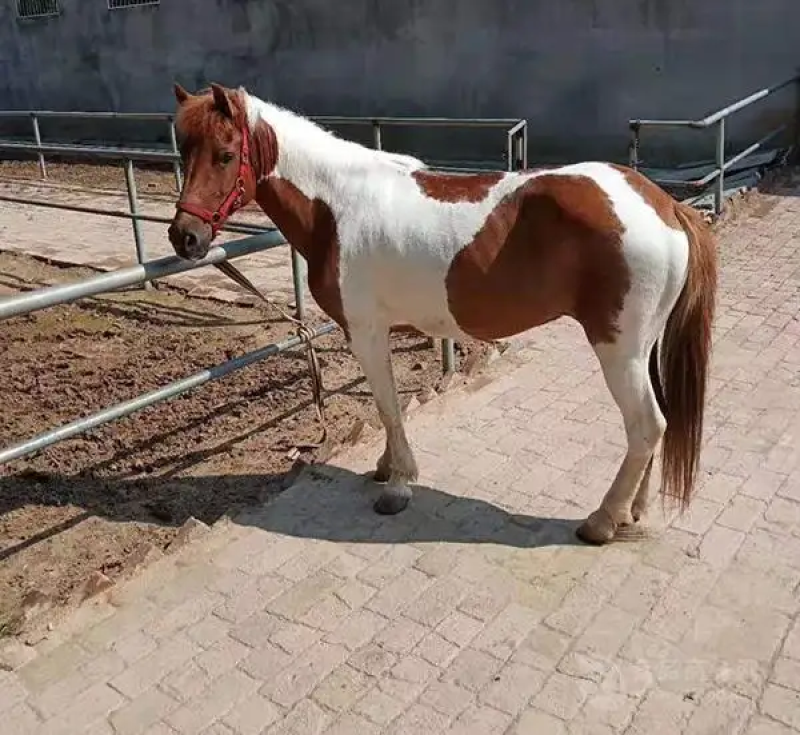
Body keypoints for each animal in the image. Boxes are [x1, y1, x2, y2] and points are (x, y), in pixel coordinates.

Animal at [167, 82, 717, 545]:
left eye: (225, 154)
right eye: (183, 150)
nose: (184, 238)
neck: (338, 206)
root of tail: (664, 205)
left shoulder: (366, 331)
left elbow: (387, 406)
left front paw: (397, 485)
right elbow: (384, 408)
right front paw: (385, 467)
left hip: (618, 349)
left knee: (645, 425)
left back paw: (602, 520)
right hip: (641, 348)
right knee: (654, 424)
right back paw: (632, 511)